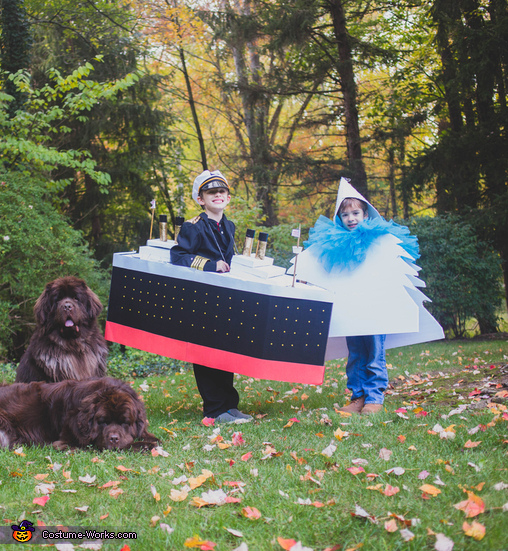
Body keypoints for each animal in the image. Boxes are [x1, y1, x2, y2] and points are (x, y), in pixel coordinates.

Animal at [0, 380, 159, 452]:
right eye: (103, 422)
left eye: (125, 422)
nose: (114, 438)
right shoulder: (67, 443)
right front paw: (146, 445)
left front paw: (152, 439)